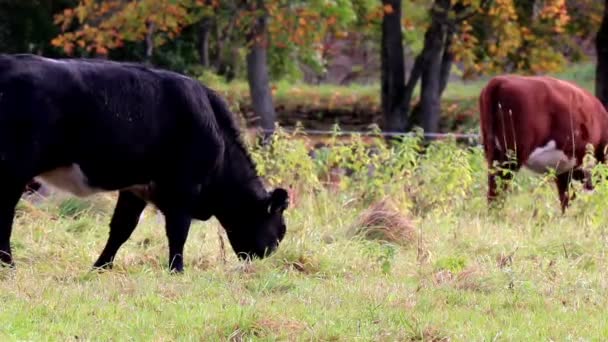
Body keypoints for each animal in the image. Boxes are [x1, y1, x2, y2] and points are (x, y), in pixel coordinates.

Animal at [0, 53, 288, 272]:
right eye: (281, 228)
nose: (266, 257)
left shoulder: (136, 188)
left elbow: (121, 228)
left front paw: (101, 267)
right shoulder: (184, 188)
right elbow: (178, 231)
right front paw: (176, 270)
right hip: (13, 171)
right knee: (6, 216)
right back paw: (8, 264)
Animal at [482, 75, 608, 211]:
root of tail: (500, 80)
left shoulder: (563, 171)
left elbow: (565, 199)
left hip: (493, 153)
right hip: (511, 156)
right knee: (498, 192)